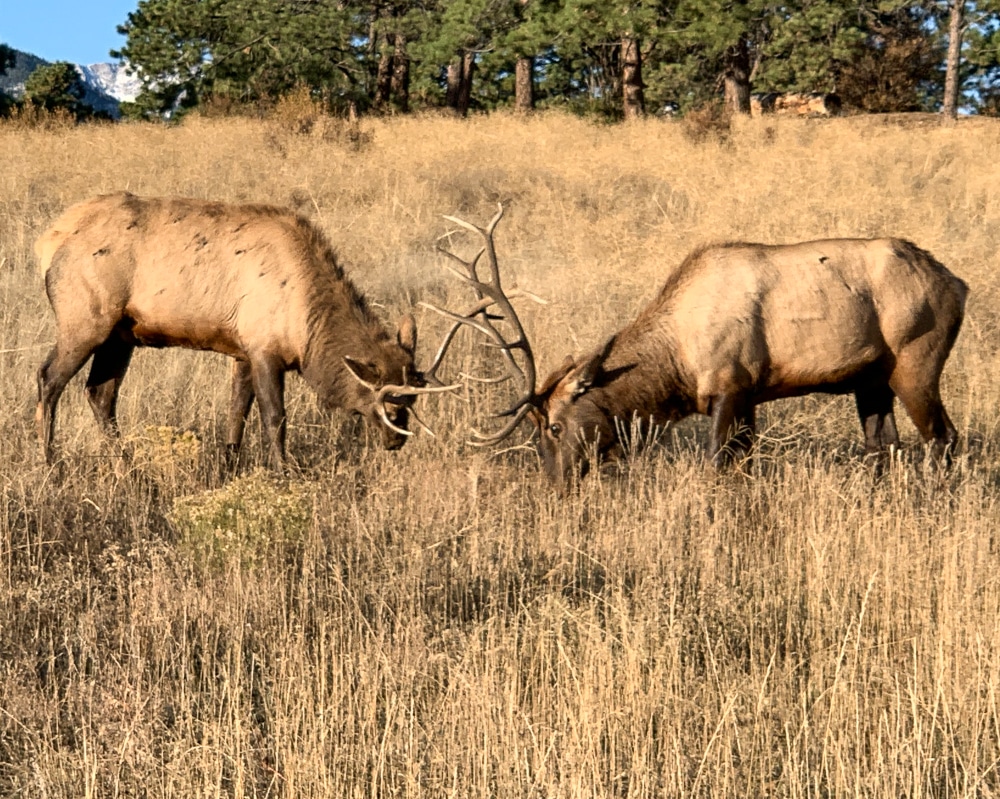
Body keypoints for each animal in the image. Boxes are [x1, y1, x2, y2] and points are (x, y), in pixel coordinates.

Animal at [35, 192, 456, 468]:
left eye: (412, 402)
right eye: (390, 404)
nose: (395, 442)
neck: (308, 328)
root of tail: (47, 240)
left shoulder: (241, 351)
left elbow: (236, 411)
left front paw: (230, 465)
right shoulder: (265, 348)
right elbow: (275, 418)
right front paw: (285, 474)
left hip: (121, 334)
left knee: (100, 394)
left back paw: (127, 464)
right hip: (85, 319)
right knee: (48, 379)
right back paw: (50, 463)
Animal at [424, 206, 968, 490]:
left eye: (555, 426)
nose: (555, 485)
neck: (678, 367)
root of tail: (958, 284)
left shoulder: (730, 384)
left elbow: (716, 464)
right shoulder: (750, 395)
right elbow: (744, 464)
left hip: (917, 360)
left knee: (944, 438)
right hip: (870, 379)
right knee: (884, 444)